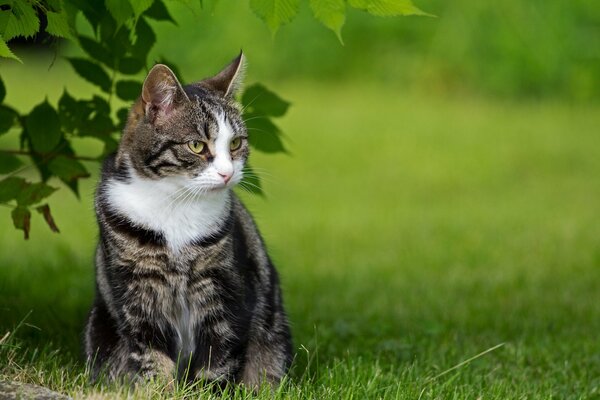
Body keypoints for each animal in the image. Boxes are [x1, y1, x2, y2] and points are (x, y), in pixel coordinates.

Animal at [82, 54, 292, 388]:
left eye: (236, 144)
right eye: (196, 145)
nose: (227, 173)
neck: (175, 204)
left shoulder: (224, 286)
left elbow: (219, 355)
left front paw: (208, 390)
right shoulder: (136, 290)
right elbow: (150, 352)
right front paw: (158, 389)